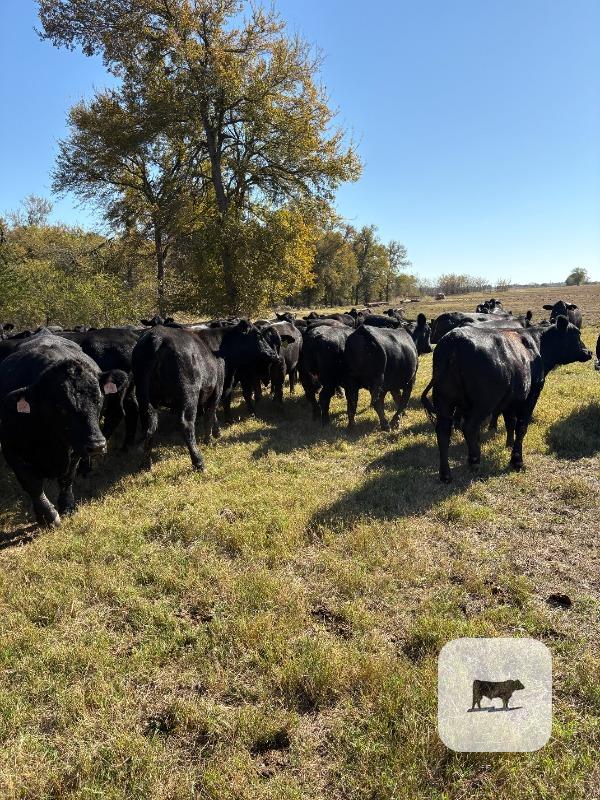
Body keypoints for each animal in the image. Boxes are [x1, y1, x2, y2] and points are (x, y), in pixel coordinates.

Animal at [0, 331, 128, 525]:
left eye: (99, 399)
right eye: (60, 406)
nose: (97, 445)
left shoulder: (75, 448)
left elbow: (67, 478)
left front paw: (67, 506)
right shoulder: (11, 448)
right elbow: (32, 483)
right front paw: (48, 515)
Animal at [131, 325, 224, 470]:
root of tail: (156, 337)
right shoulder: (217, 390)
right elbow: (210, 414)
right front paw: (210, 439)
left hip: (145, 396)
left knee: (149, 426)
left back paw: (146, 464)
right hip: (189, 393)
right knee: (186, 424)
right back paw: (198, 462)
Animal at [421, 317, 592, 482]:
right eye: (576, 334)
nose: (589, 352)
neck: (537, 345)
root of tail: (454, 339)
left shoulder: (510, 400)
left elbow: (510, 422)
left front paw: (508, 445)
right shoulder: (531, 396)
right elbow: (521, 427)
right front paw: (517, 460)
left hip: (444, 400)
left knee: (443, 431)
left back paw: (446, 474)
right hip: (483, 403)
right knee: (469, 426)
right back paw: (474, 461)